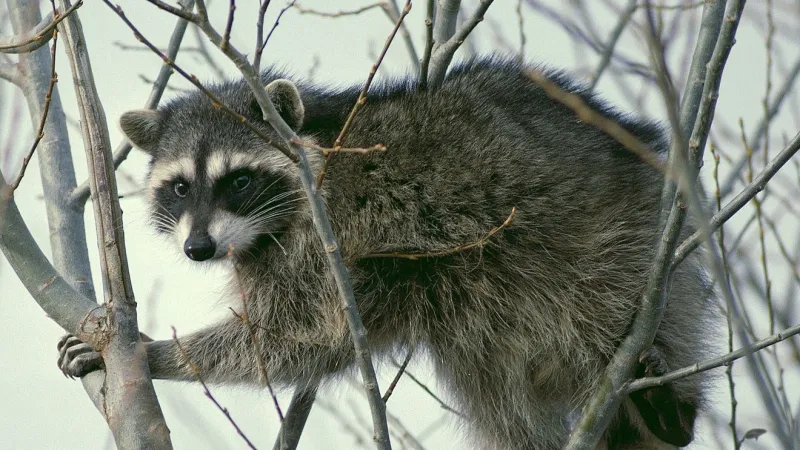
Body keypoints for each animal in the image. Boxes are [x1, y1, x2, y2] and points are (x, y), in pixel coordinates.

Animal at [59, 59, 715, 449]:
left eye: (238, 181)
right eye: (179, 188)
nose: (199, 248)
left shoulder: (332, 236)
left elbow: (294, 332)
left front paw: (158, 353)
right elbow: (306, 340)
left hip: (613, 241)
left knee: (605, 305)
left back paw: (669, 407)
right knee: (496, 389)